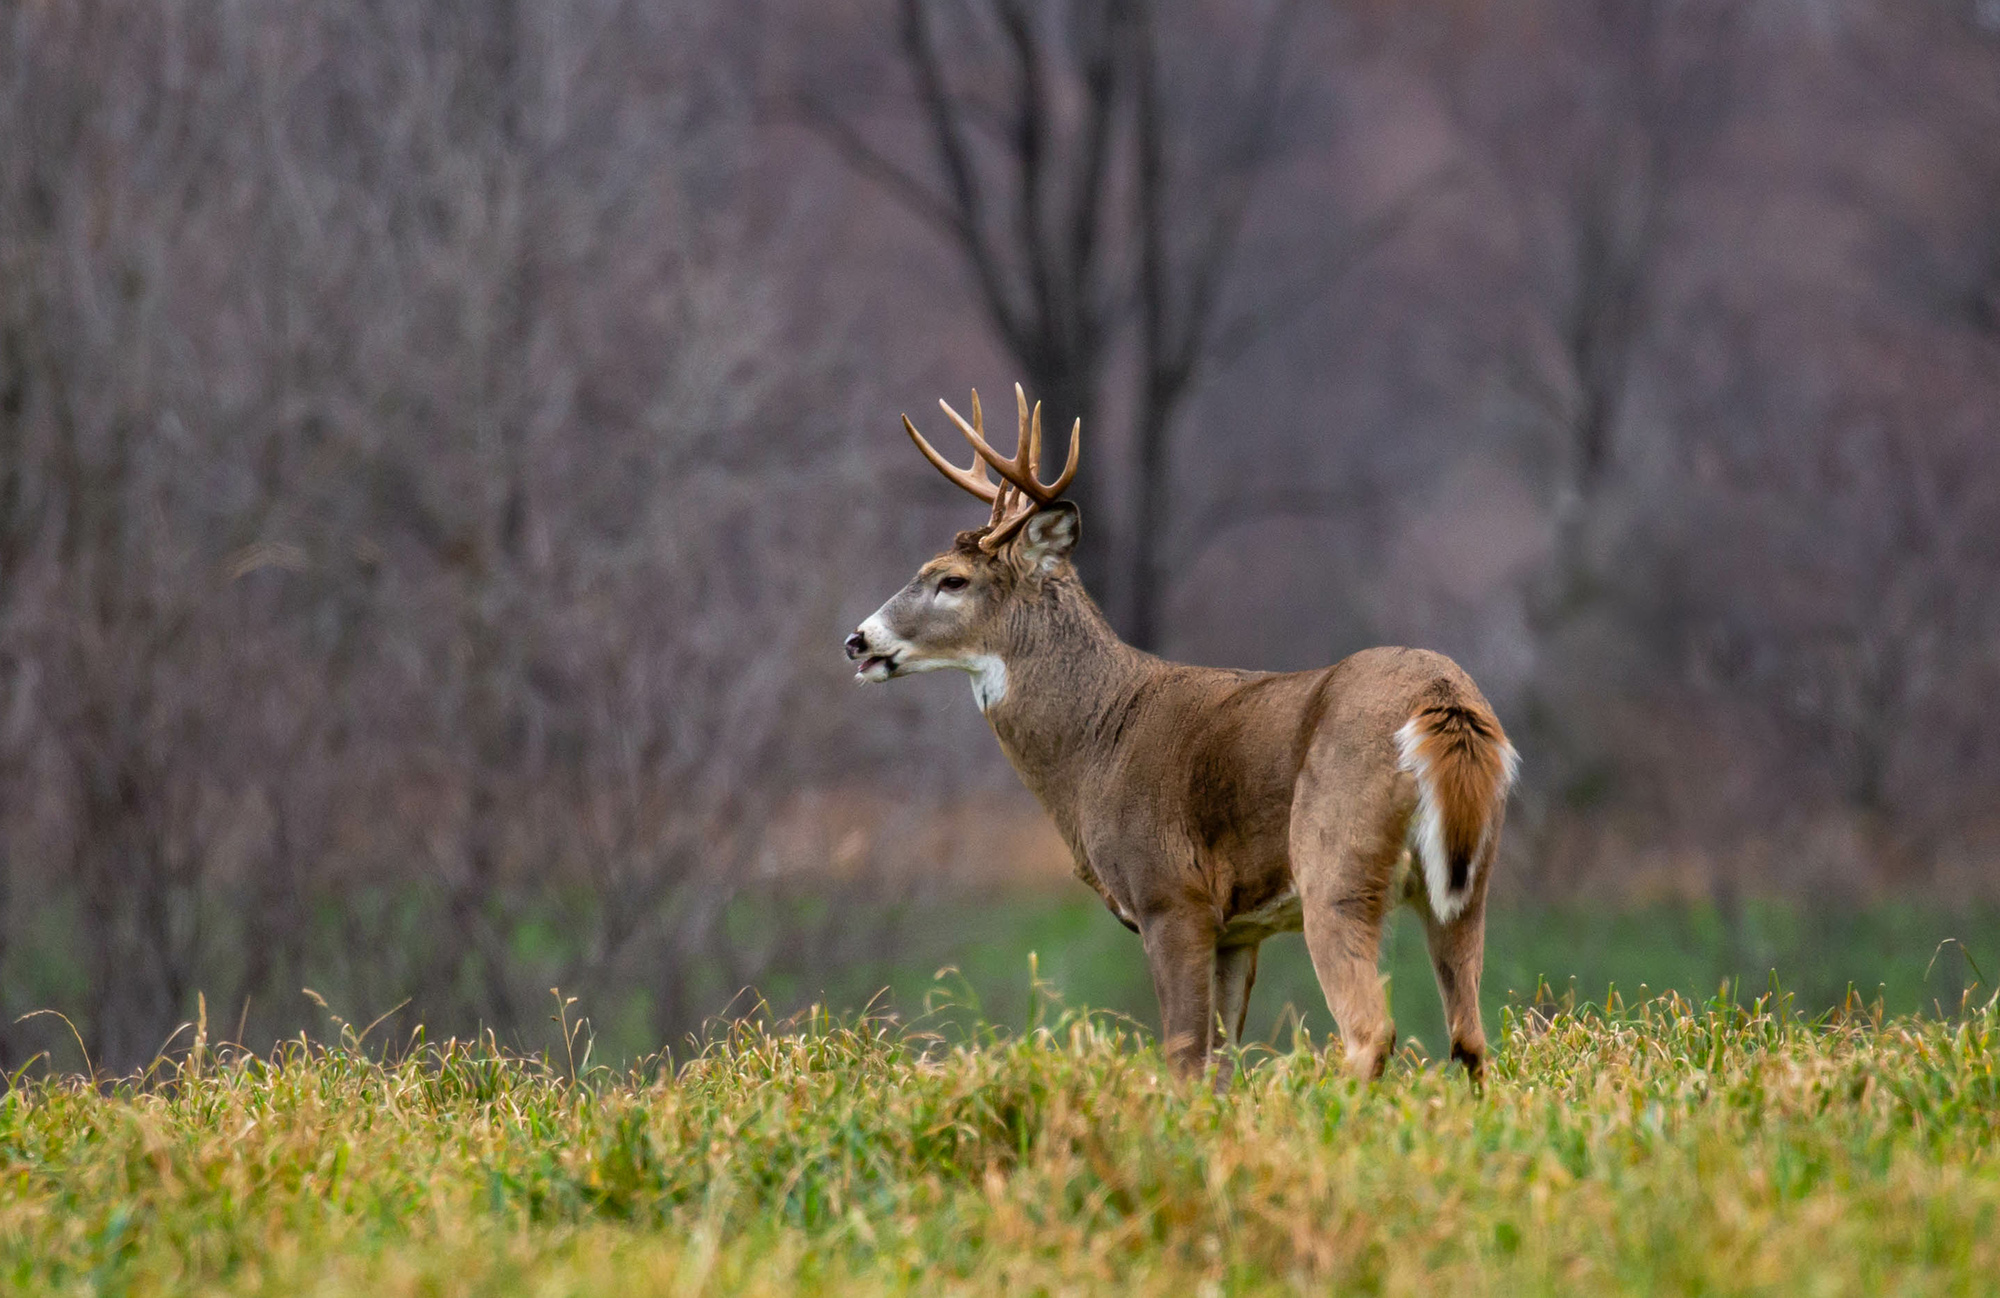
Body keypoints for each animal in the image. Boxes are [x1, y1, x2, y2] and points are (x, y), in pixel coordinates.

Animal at [844, 390, 1512, 1080]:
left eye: (951, 579)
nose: (857, 641)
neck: (1097, 745)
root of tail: (1443, 700)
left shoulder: (1170, 894)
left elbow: (1184, 1058)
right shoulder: (1238, 929)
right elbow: (1219, 1064)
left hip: (1336, 858)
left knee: (1371, 1030)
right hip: (1466, 884)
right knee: (1470, 1037)